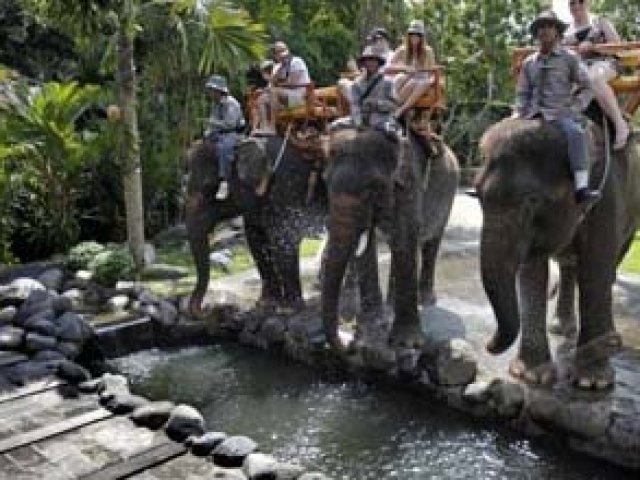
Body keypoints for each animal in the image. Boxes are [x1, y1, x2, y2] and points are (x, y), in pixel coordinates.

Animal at [185, 135, 325, 316]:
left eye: (209, 186)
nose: (206, 310)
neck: (242, 141)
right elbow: (255, 238)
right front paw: (265, 305)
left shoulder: (286, 186)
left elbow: (283, 238)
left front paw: (288, 309)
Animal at [321, 129, 459, 351]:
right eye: (325, 182)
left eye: (374, 187)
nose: (349, 343)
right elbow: (369, 247)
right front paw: (371, 328)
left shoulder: (411, 181)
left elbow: (405, 235)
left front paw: (407, 343)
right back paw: (391, 305)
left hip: (449, 195)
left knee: (431, 243)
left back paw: (426, 301)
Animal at [474, 117, 640, 389]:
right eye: (477, 195)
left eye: (532, 200)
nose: (488, 346)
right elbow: (533, 269)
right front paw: (530, 376)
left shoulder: (606, 197)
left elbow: (596, 267)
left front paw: (591, 382)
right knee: (569, 265)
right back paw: (562, 330)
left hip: (633, 214)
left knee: (609, 263)